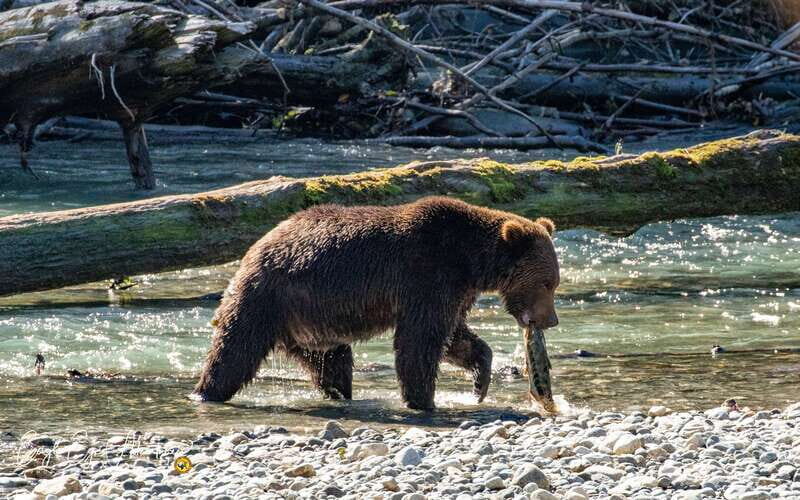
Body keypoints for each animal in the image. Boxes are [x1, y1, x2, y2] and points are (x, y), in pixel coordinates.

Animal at [192, 196, 560, 410]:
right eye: (547, 283)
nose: (552, 320)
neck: (472, 260)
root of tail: (256, 247)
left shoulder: (456, 290)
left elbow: (455, 336)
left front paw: (480, 380)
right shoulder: (427, 272)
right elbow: (420, 339)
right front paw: (423, 399)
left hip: (312, 326)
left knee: (332, 366)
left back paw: (341, 395)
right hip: (268, 298)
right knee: (234, 351)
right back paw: (205, 392)